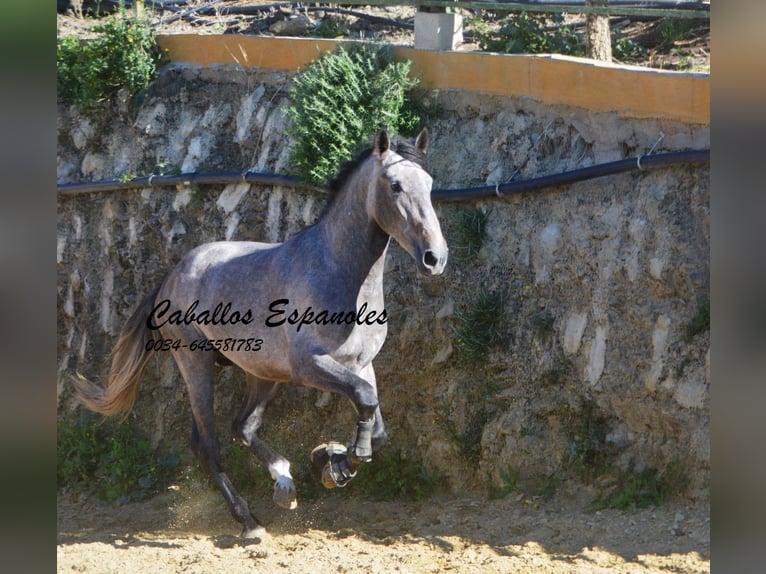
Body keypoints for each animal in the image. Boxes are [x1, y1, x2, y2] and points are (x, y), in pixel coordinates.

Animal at [73, 129, 450, 540]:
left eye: (429, 183)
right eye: (395, 185)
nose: (435, 258)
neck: (339, 271)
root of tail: (174, 272)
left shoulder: (362, 365)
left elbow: (377, 425)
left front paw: (330, 462)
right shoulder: (311, 366)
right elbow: (366, 402)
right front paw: (337, 463)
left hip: (263, 372)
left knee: (243, 425)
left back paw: (284, 483)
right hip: (196, 361)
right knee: (207, 443)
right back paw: (249, 522)